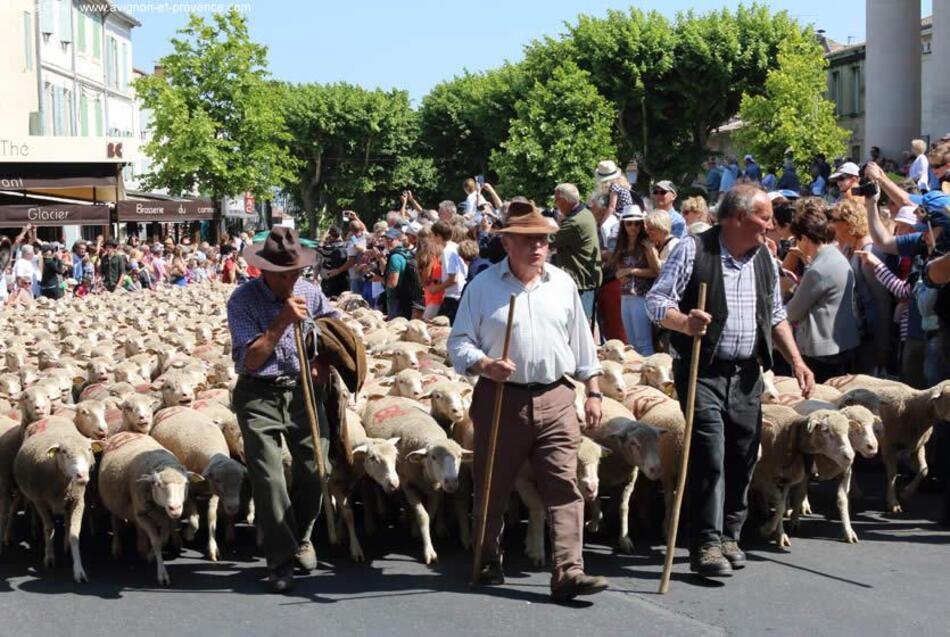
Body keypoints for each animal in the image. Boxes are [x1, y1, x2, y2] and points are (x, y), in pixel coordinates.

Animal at [13, 418, 103, 580]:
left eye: (89, 450)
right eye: (64, 452)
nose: (82, 476)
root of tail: (50, 417)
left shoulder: (78, 501)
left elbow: (74, 534)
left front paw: (78, 570)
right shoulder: (41, 501)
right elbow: (49, 528)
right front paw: (49, 558)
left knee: (67, 521)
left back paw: (66, 545)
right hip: (32, 496)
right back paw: (35, 528)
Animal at [98, 430, 203, 584]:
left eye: (186, 484)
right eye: (157, 484)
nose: (175, 508)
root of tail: (125, 432)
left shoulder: (166, 519)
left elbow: (163, 540)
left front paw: (150, 555)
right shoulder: (142, 516)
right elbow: (156, 542)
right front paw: (162, 574)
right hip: (114, 501)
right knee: (115, 523)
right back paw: (117, 548)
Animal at [148, 404, 245, 560]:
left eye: (241, 480)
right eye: (218, 480)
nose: (233, 508)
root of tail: (171, 407)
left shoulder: (214, 494)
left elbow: (211, 517)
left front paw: (212, 548)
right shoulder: (188, 492)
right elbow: (194, 521)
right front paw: (188, 534)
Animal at [362, 396, 470, 564]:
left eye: (459, 456)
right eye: (433, 457)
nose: (452, 482)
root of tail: (385, 396)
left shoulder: (436, 490)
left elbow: (430, 514)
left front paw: (422, 535)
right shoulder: (408, 486)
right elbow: (422, 516)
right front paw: (429, 551)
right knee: (377, 488)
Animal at [756, 408, 860, 548]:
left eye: (848, 430)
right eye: (825, 430)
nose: (850, 456)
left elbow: (842, 500)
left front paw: (849, 532)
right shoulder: (765, 478)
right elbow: (781, 505)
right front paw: (769, 530)